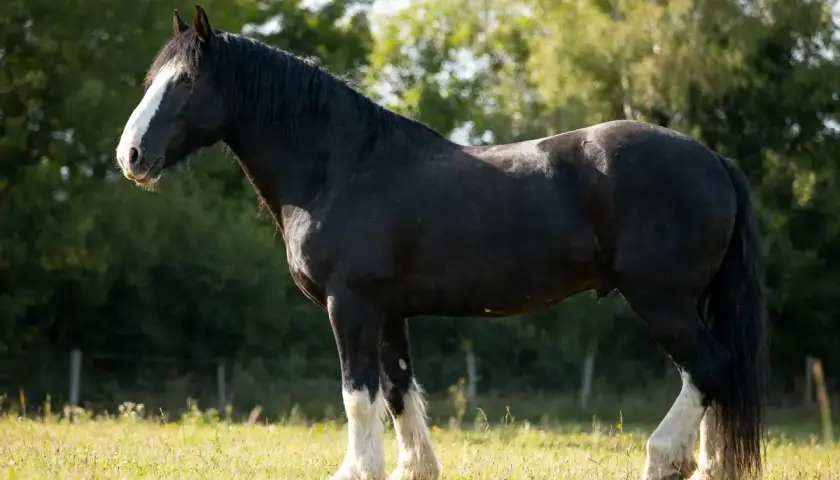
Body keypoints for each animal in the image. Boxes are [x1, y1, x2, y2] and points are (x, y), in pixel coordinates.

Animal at [115, 6, 768, 480]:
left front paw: (358, 471)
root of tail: (712, 159)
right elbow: (399, 392)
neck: (342, 166)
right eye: (151, 79)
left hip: (661, 299)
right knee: (713, 383)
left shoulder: (351, 304)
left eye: (186, 81)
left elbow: (359, 395)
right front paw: (413, 469)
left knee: (708, 368)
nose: (131, 156)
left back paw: (664, 460)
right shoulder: (388, 311)